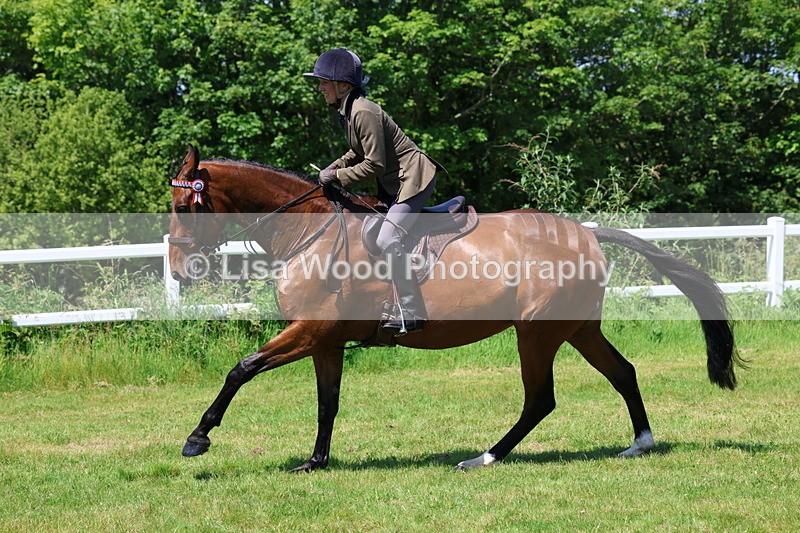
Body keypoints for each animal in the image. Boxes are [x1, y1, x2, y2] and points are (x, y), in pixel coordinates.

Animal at [169, 145, 739, 472]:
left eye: (183, 205)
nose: (178, 270)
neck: (309, 233)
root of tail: (586, 233)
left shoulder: (310, 330)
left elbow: (242, 369)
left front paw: (197, 439)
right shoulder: (324, 339)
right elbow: (327, 402)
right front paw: (315, 462)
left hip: (536, 332)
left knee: (540, 399)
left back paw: (484, 457)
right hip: (576, 327)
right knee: (622, 372)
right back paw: (640, 443)